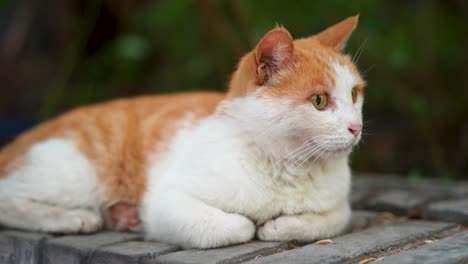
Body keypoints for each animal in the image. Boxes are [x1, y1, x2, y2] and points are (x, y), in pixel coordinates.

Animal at [0, 15, 366, 249]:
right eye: (319, 101)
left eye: (354, 94)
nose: (356, 126)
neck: (287, 166)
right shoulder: (166, 202)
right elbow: (238, 226)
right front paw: (256, 223)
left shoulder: (339, 206)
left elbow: (328, 218)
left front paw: (280, 224)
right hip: (76, 174)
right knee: (9, 197)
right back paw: (74, 218)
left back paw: (119, 215)